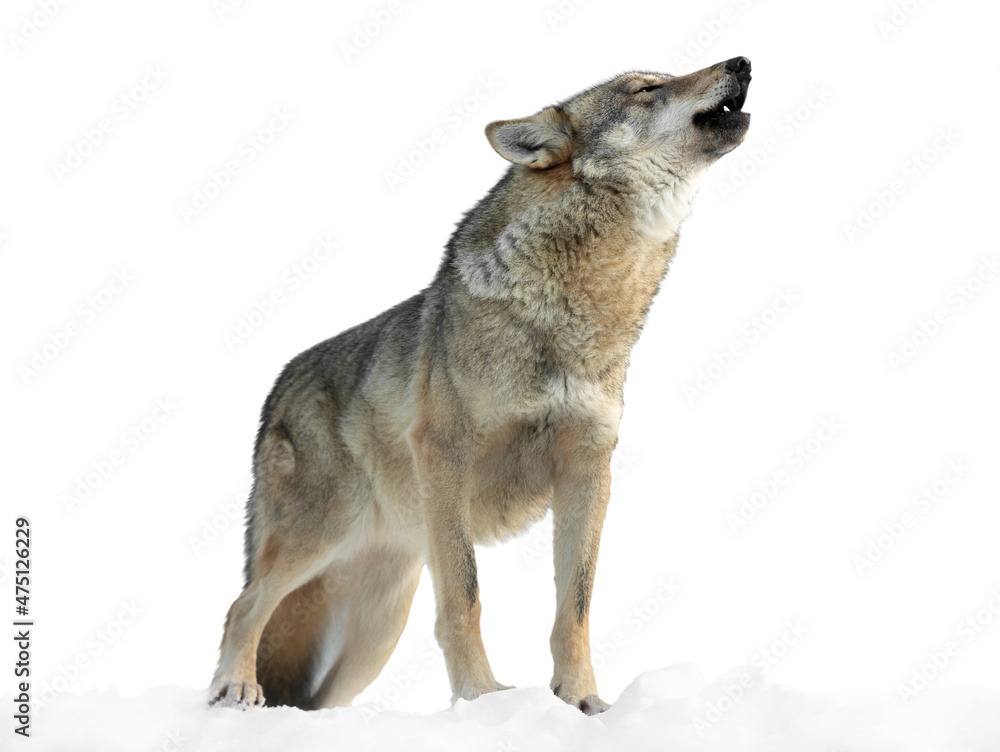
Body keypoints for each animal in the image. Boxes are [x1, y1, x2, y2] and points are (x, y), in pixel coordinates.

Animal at [210, 56, 752, 715]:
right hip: (320, 537)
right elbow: (465, 597)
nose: (743, 62)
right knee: (241, 607)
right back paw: (235, 686)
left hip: (377, 633)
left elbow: (575, 607)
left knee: (316, 693)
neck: (576, 312)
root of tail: (277, 387)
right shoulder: (446, 453)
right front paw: (481, 697)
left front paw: (582, 702)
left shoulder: (589, 468)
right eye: (647, 89)